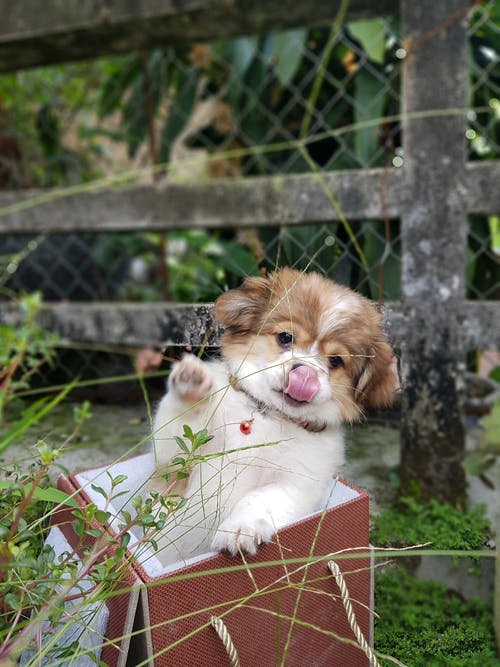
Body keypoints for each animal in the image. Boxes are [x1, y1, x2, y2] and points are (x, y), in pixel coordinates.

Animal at [146, 268, 396, 568]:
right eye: (285, 337)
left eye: (336, 360)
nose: (305, 374)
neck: (268, 415)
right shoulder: (173, 464)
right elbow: (179, 430)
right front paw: (191, 383)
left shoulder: (297, 484)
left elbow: (258, 498)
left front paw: (240, 528)